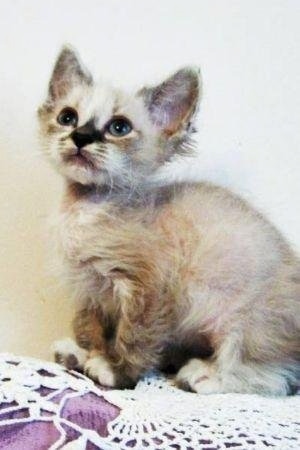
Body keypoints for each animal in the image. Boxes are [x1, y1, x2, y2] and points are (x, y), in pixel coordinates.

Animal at [38, 46, 298, 394]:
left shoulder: (148, 288)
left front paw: (116, 371)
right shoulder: (90, 290)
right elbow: (89, 328)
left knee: (275, 374)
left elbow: (134, 336)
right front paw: (84, 354)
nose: (80, 136)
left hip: (248, 322)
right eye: (67, 117)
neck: (88, 209)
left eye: (119, 127)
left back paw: (206, 375)